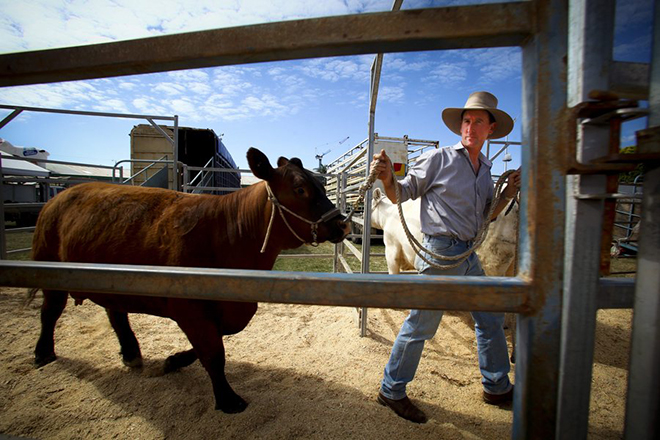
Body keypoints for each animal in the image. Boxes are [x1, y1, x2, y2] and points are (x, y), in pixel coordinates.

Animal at [28, 148, 350, 412]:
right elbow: (214, 353)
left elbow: (214, 342)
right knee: (50, 311)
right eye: (300, 189)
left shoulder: (232, 309)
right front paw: (228, 399)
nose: (342, 223)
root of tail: (61, 196)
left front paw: (174, 361)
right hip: (49, 266)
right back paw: (43, 353)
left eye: (321, 185)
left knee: (115, 312)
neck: (229, 236)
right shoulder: (190, 307)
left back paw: (131, 353)